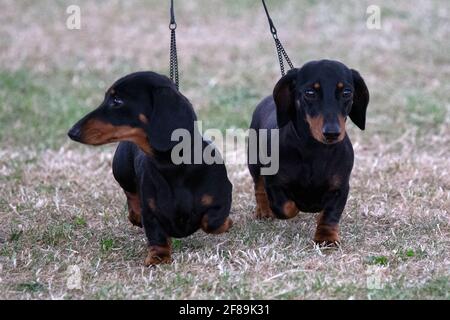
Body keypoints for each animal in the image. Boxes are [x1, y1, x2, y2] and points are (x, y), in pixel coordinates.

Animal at [69, 72, 236, 264]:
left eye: (117, 100)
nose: (72, 132)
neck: (172, 167)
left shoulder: (222, 197)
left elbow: (212, 222)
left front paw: (228, 223)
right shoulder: (151, 212)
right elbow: (157, 235)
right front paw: (158, 258)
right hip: (122, 171)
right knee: (130, 193)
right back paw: (135, 215)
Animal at [250, 60, 370, 245]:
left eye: (347, 92)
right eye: (310, 92)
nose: (332, 133)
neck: (315, 150)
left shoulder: (340, 187)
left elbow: (330, 214)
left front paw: (326, 237)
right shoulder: (274, 183)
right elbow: (286, 207)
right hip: (254, 163)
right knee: (259, 186)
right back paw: (264, 210)